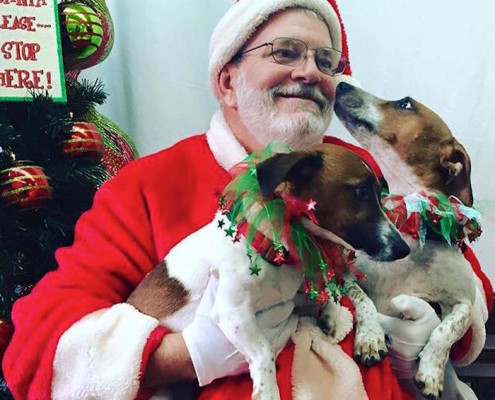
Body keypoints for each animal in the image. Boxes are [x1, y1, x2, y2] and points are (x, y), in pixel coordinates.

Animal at [128, 144, 410, 400]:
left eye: (381, 193)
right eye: (361, 192)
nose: (405, 248)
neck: (272, 246)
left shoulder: (292, 295)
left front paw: (333, 313)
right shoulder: (232, 311)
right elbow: (263, 351)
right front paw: (267, 391)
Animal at [334, 82, 488, 400]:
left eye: (405, 104)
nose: (341, 83)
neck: (410, 221)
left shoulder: (463, 300)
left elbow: (446, 329)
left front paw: (431, 371)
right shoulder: (346, 276)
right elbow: (363, 300)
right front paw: (370, 337)